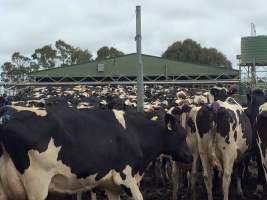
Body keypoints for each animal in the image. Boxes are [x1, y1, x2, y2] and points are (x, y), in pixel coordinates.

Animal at [0, 105, 194, 199]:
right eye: (182, 135)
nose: (190, 156)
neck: (136, 134)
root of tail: (7, 114)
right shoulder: (126, 178)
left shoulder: (112, 186)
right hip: (36, 184)